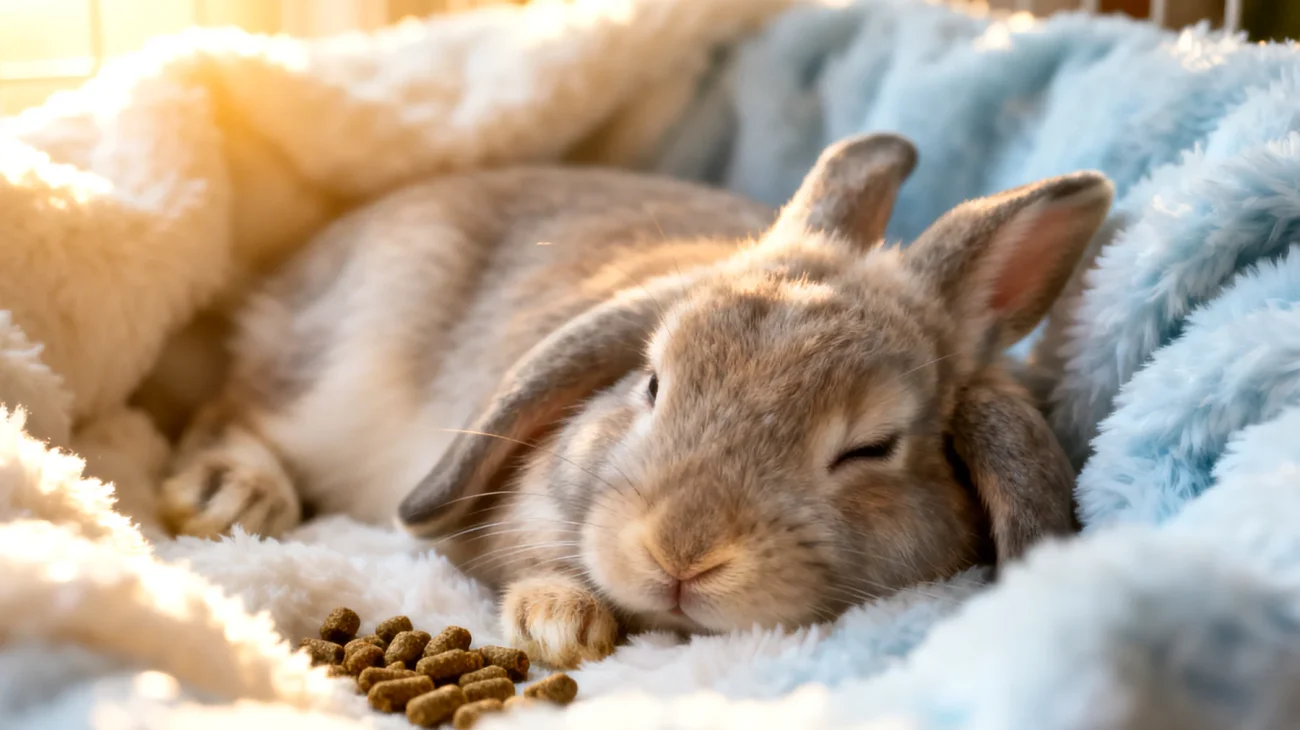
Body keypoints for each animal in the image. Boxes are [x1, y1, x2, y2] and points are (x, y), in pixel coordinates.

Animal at [159, 132, 1112, 669]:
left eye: (872, 446)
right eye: (652, 382)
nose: (682, 555)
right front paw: (562, 625)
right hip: (333, 374)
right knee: (231, 409)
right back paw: (231, 494)